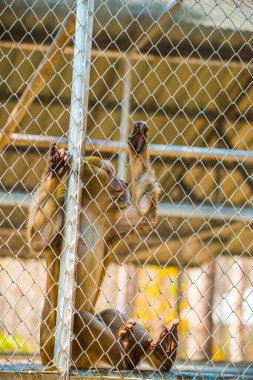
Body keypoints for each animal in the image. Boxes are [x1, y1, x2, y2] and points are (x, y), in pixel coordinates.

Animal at [27, 122, 179, 372]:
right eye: (108, 172)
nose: (123, 183)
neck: (88, 210)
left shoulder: (110, 220)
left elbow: (143, 214)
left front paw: (138, 145)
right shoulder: (65, 214)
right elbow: (40, 238)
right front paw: (54, 172)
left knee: (108, 314)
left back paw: (161, 352)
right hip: (60, 352)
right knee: (79, 318)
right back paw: (126, 355)